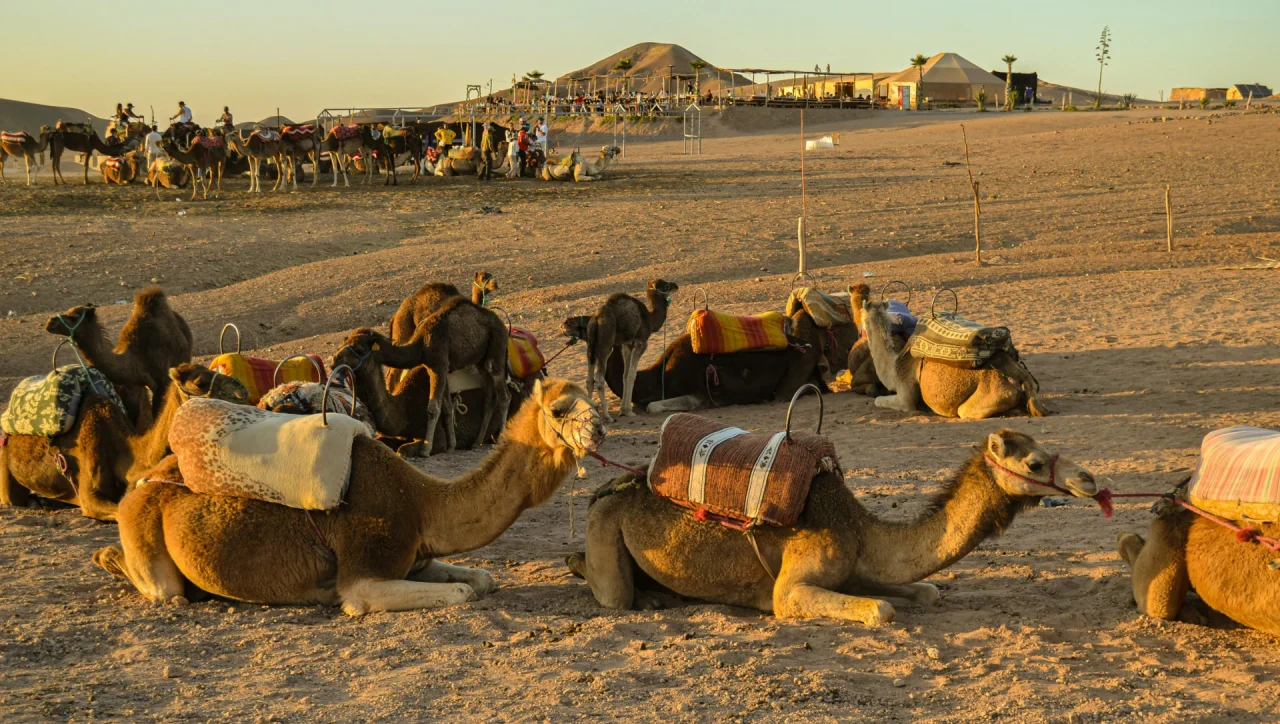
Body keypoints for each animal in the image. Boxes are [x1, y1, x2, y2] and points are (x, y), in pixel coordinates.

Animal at [46, 288, 195, 421]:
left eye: (73, 317)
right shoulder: (131, 387)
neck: (134, 359)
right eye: (67, 311)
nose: (50, 322)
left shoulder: (161, 383)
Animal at [92, 378, 603, 613]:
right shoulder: (365, 568)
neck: (422, 504)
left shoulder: (415, 557)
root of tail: (142, 484)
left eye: (590, 397)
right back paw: (109, 558)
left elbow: (481, 579)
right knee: (164, 589)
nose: (598, 428)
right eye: (561, 408)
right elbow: (459, 592)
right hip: (148, 539)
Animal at [339, 299, 510, 457]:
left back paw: (500, 438)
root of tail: (501, 323)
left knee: (503, 395)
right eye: (343, 344)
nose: (335, 359)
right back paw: (476, 442)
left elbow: (432, 410)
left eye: (359, 349)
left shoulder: (438, 364)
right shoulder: (436, 368)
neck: (420, 346)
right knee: (489, 397)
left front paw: (426, 449)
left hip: (497, 345)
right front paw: (451, 445)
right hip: (480, 361)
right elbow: (446, 406)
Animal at [567, 429, 1097, 623]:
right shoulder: (792, 588)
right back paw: (638, 596)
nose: (1088, 480)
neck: (861, 530)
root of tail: (607, 488)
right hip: (603, 524)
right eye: (1034, 462)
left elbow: (926, 592)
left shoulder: (855, 570)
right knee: (608, 588)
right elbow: (881, 609)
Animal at [582, 279, 678, 422]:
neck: (650, 320)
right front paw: (629, 411)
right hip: (606, 344)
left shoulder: (627, 345)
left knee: (589, 379)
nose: (676, 285)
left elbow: (625, 375)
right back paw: (608, 416)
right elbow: (632, 375)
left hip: (591, 344)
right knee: (599, 378)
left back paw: (593, 413)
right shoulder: (641, 342)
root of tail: (596, 319)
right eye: (666, 285)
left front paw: (624, 410)